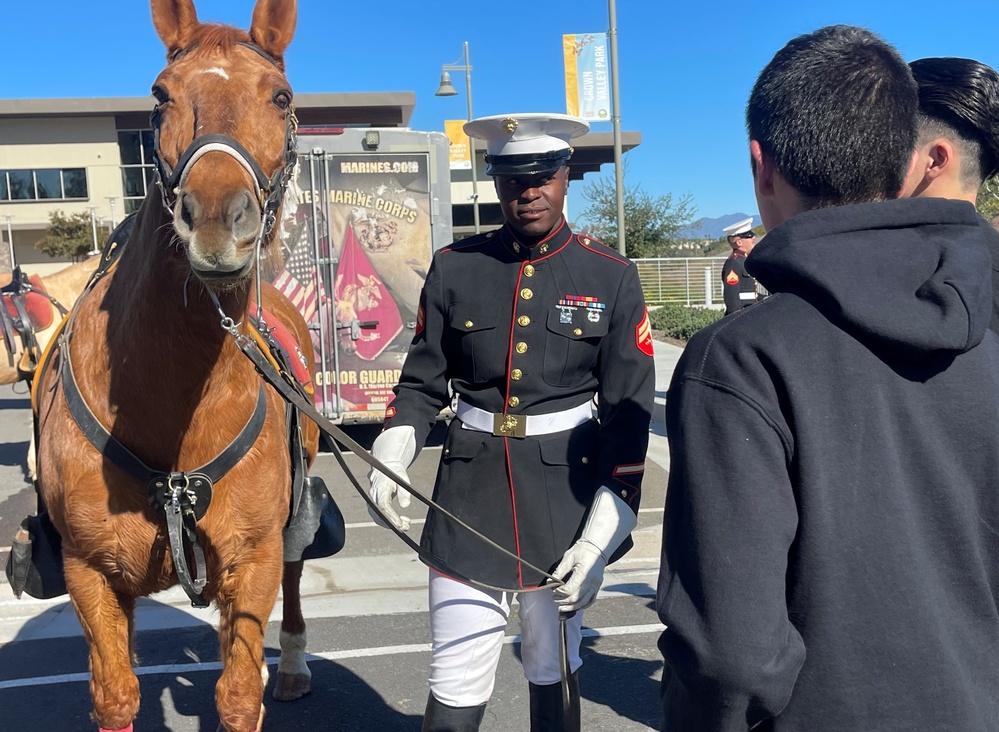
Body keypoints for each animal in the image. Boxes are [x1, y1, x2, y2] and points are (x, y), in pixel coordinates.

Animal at [33, 1, 320, 732]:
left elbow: (239, 692)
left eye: (281, 97)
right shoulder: (91, 573)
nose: (216, 220)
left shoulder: (254, 559)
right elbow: (115, 693)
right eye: (160, 97)